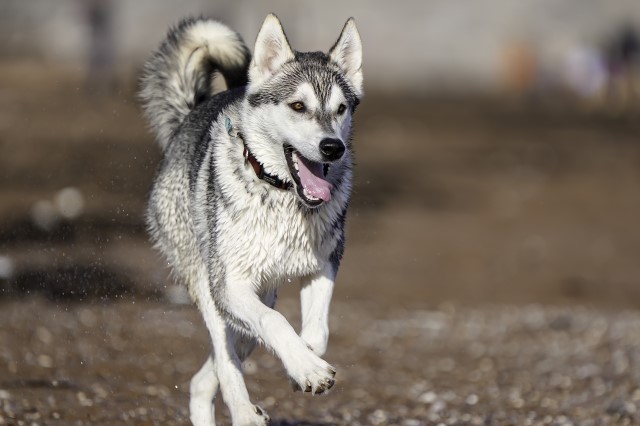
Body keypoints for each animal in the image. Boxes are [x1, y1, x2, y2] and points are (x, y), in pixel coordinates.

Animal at [140, 13, 362, 426]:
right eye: (298, 106)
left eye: (341, 109)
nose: (332, 148)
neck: (283, 196)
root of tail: (187, 118)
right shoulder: (229, 285)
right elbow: (274, 325)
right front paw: (307, 369)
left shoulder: (323, 265)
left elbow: (316, 333)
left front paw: (302, 364)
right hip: (207, 283)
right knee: (225, 357)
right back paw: (244, 411)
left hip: (265, 288)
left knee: (208, 373)